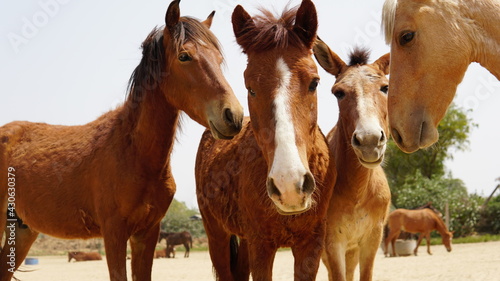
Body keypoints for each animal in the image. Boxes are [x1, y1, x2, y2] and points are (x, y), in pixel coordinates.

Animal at [0, 1, 244, 278]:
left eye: (219, 59)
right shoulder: (114, 233)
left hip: (22, 230)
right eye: (184, 56)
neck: (134, 153)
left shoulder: (146, 233)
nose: (233, 115)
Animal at [195, 1, 336, 278]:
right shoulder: (261, 245)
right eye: (250, 88)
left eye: (314, 82)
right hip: (216, 234)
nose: (289, 185)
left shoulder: (311, 245)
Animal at [314, 39, 392, 280]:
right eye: (338, 93)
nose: (369, 141)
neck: (358, 190)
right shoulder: (333, 242)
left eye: (385, 87)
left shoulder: (371, 240)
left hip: (353, 250)